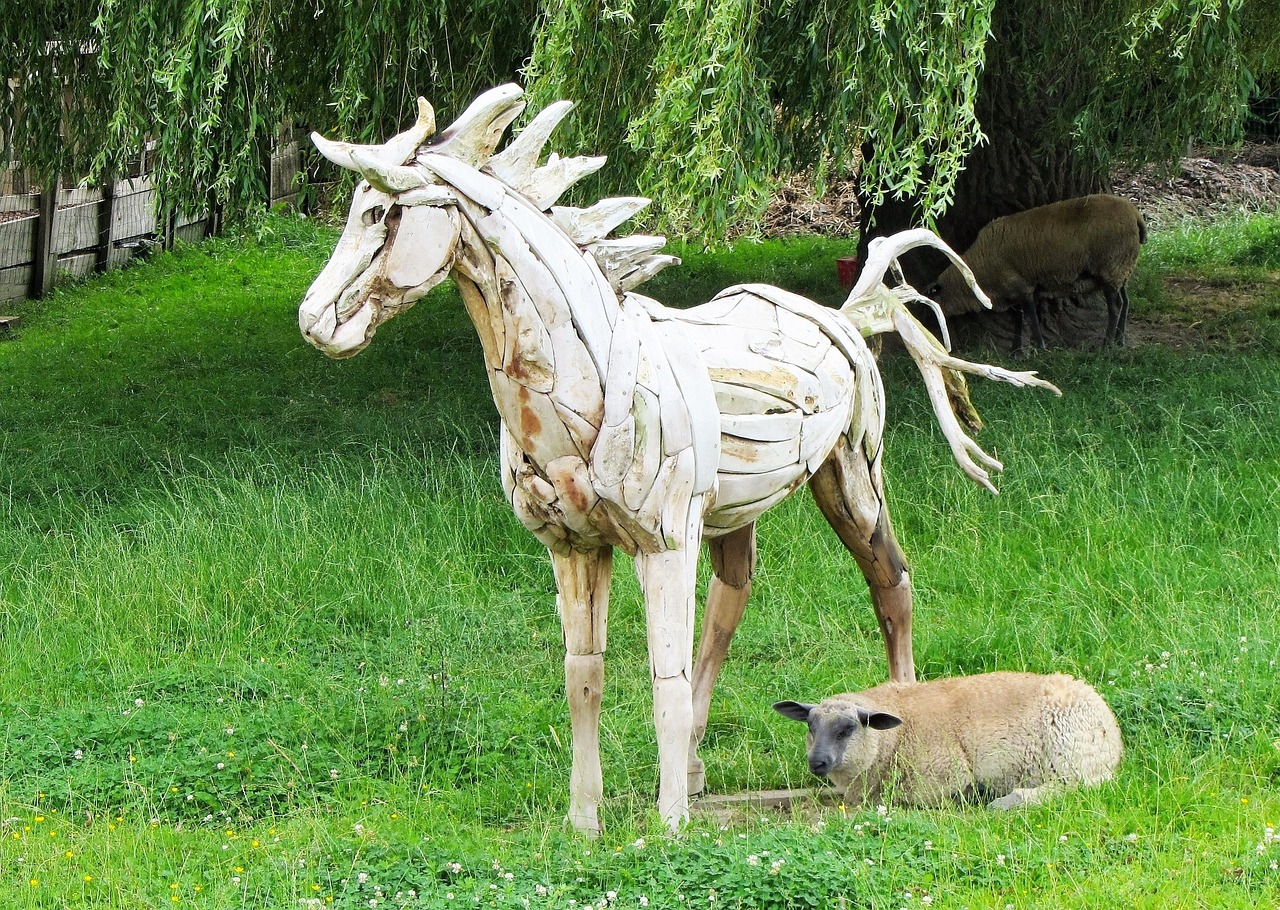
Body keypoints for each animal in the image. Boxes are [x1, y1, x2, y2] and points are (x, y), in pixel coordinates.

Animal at [768, 670, 1121, 814]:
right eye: (810, 725)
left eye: (848, 728)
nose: (817, 762)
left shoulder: (942, 776)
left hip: (1073, 756)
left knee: (1076, 787)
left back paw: (1005, 801)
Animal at [931, 195, 1152, 353]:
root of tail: (1135, 214)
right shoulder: (1013, 292)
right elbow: (1018, 319)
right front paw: (1015, 351)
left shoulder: (1023, 287)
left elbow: (1031, 318)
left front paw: (1040, 348)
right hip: (1122, 267)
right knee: (1125, 302)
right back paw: (1120, 340)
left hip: (1111, 265)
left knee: (1115, 307)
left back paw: (1108, 344)